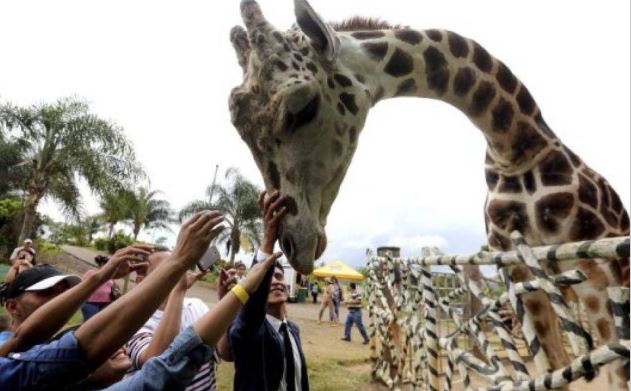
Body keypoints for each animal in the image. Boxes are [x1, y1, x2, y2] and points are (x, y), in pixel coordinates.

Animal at [230, 0, 628, 388]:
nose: (295, 245)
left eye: (303, 106)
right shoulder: (517, 270)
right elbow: (554, 371)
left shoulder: (602, 269)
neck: (514, 145)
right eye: (240, 128)